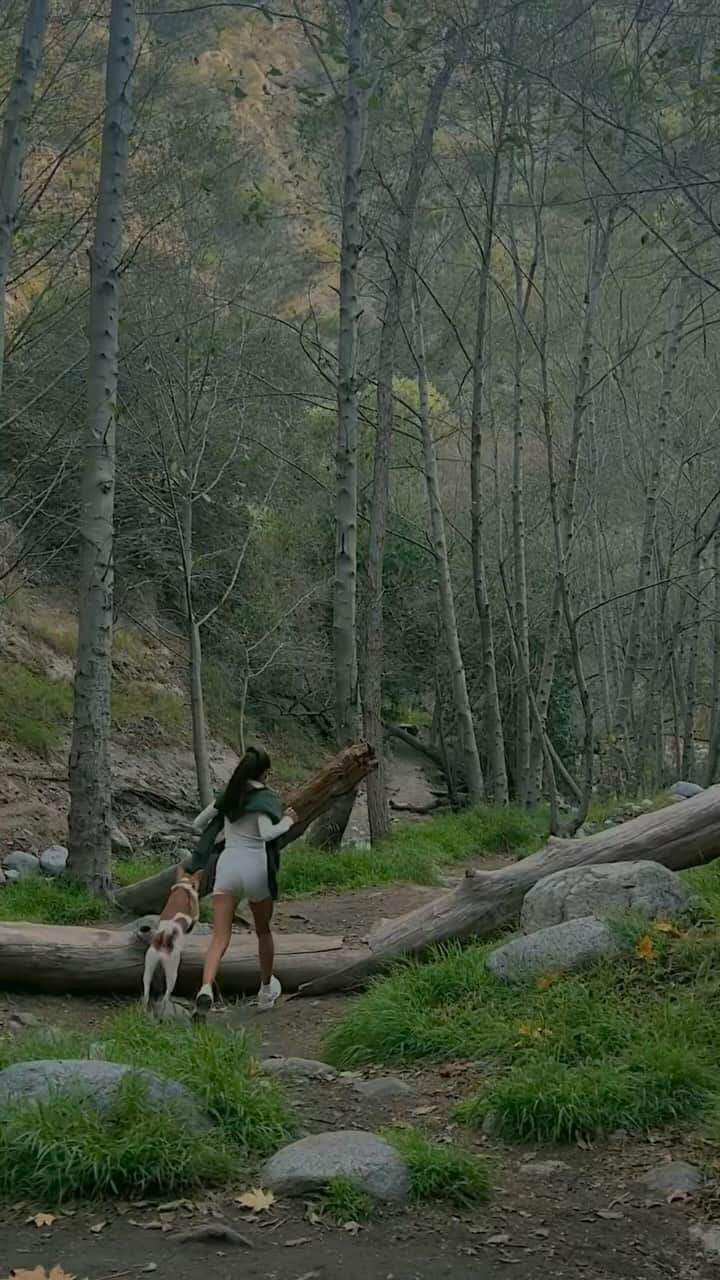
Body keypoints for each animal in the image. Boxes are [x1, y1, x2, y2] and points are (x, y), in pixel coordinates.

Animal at [140, 865, 198, 1013]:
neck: (183, 886)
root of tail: (164, 936)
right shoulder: (195, 915)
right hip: (172, 971)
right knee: (166, 994)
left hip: (149, 966)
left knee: (146, 991)